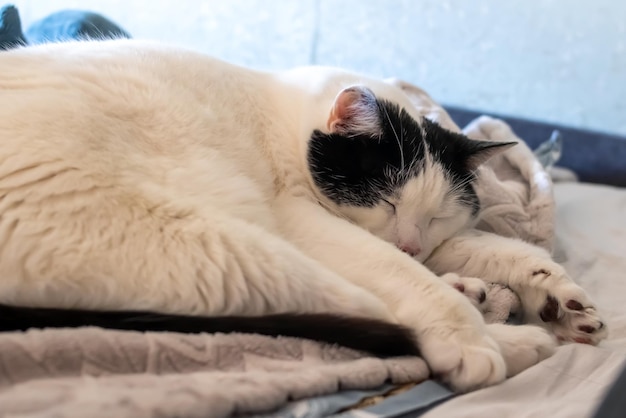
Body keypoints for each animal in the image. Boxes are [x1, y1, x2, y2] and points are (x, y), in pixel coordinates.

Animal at [0, 39, 604, 392]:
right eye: (387, 199)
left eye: (436, 216)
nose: (412, 243)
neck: (283, 120)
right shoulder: (302, 217)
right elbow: (402, 274)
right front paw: (479, 329)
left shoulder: (430, 242)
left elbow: (499, 249)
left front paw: (559, 298)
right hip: (223, 250)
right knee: (370, 313)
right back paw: (508, 342)